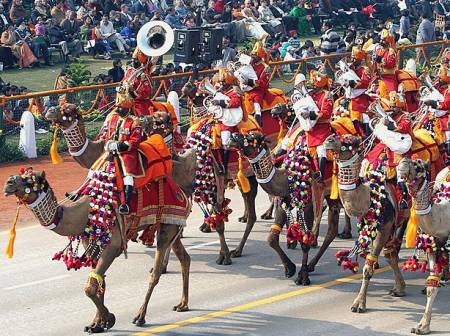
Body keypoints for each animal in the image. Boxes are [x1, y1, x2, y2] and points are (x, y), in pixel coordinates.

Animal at [3, 169, 190, 332]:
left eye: (32, 180)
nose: (8, 182)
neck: (84, 213)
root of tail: (181, 193)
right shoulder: (91, 244)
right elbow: (98, 281)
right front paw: (96, 324)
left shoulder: (113, 246)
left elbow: (89, 287)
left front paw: (108, 318)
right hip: (171, 226)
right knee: (184, 257)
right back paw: (182, 305)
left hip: (167, 224)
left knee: (155, 272)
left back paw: (140, 316)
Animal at [324, 134, 408, 312]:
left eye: (350, 140)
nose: (329, 139)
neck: (370, 197)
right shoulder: (381, 225)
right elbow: (390, 256)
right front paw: (399, 288)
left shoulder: (384, 228)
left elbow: (368, 267)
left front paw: (359, 303)